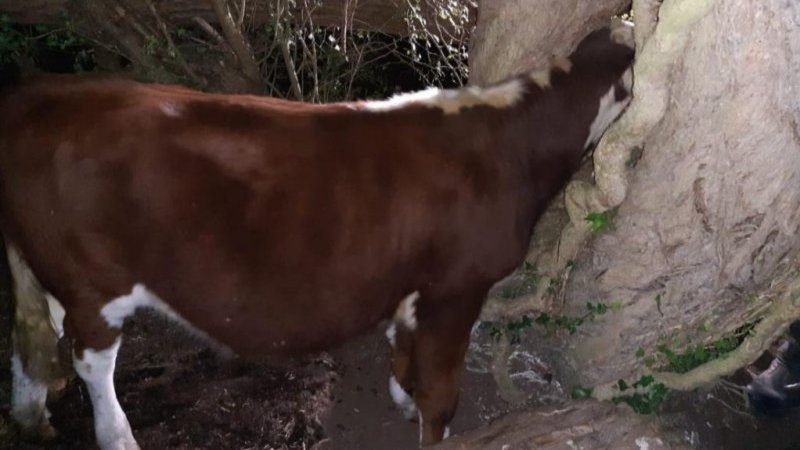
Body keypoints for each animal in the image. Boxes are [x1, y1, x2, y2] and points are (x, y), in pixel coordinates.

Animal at [1, 22, 636, 450]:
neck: (511, 145)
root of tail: (43, 92)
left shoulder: (414, 285)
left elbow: (403, 350)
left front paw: (400, 396)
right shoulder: (458, 287)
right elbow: (441, 390)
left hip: (41, 268)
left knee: (30, 337)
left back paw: (33, 417)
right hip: (92, 281)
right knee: (91, 361)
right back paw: (118, 435)